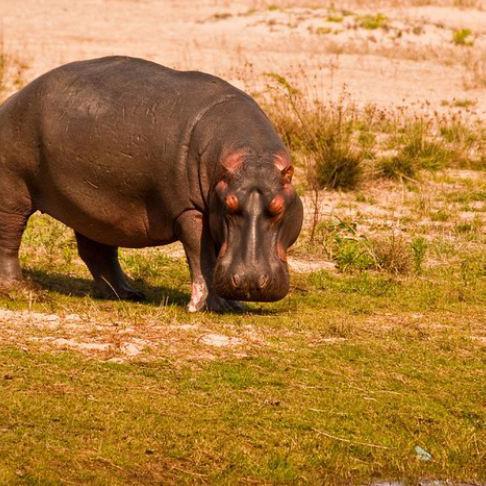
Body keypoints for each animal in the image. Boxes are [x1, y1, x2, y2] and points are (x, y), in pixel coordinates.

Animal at [0, 56, 304, 312]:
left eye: (278, 208)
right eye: (229, 206)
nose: (250, 282)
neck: (252, 156)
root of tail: (10, 100)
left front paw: (233, 304)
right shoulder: (190, 211)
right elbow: (203, 257)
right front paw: (209, 306)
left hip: (93, 205)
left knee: (96, 250)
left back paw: (126, 293)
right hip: (13, 193)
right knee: (9, 238)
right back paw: (22, 290)